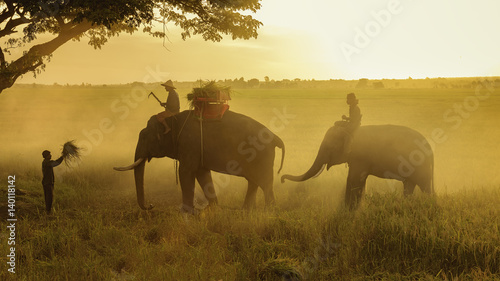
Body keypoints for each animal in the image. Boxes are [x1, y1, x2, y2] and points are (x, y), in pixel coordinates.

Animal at [114, 110, 286, 211]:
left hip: (262, 156)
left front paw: (187, 213)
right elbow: (202, 174)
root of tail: (276, 137)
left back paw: (268, 212)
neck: (172, 120)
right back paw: (245, 211)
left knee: (264, 183)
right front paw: (213, 209)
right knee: (254, 181)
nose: (151, 205)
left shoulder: (189, 144)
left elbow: (185, 172)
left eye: (143, 136)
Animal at [282, 124, 434, 208]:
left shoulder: (360, 157)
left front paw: (349, 209)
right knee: (409, 185)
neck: (349, 129)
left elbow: (354, 179)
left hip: (421, 166)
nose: (282, 179)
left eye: (329, 148)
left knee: (425, 187)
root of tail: (430, 149)